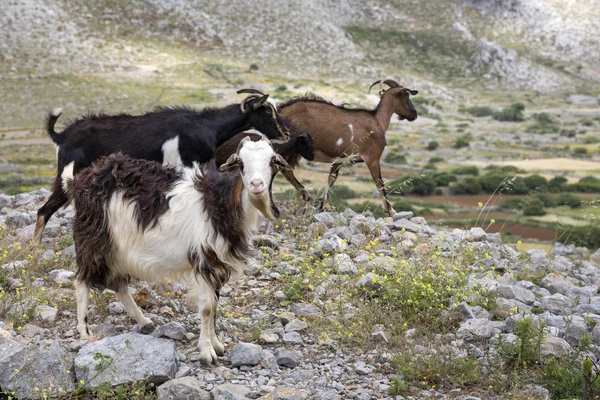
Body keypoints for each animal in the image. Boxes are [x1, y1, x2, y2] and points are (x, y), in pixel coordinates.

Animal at [32, 88, 290, 242]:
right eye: (266, 110)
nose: (286, 133)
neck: (206, 126)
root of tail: (62, 135)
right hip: (70, 175)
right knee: (45, 210)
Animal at [62, 138, 292, 366]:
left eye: (272, 161)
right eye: (241, 163)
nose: (256, 185)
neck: (220, 203)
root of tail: (78, 181)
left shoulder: (218, 263)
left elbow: (215, 305)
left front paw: (217, 345)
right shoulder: (204, 258)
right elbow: (207, 308)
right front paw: (207, 352)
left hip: (119, 251)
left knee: (119, 286)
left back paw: (144, 321)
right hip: (94, 240)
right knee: (82, 281)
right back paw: (85, 331)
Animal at [276, 79, 418, 216]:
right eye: (406, 95)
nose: (414, 114)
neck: (378, 121)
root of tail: (280, 110)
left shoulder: (338, 159)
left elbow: (331, 179)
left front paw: (324, 205)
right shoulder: (372, 158)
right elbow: (380, 183)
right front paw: (390, 210)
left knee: (285, 170)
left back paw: (304, 195)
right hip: (287, 148)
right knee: (281, 168)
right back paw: (303, 194)